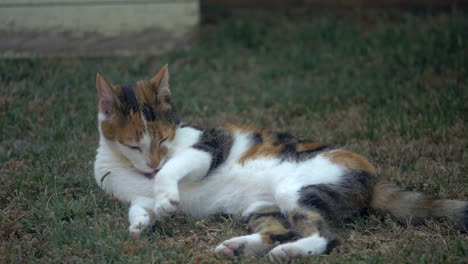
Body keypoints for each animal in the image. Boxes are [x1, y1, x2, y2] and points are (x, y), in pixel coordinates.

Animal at [93, 64, 466, 262]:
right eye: (134, 145)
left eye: (163, 139)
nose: (153, 164)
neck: (126, 166)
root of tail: (373, 177)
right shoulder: (135, 192)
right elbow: (139, 206)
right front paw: (140, 224)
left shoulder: (211, 145)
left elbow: (173, 172)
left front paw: (166, 196)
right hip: (261, 206)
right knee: (280, 229)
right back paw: (238, 246)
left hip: (298, 187)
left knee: (327, 235)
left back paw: (287, 252)